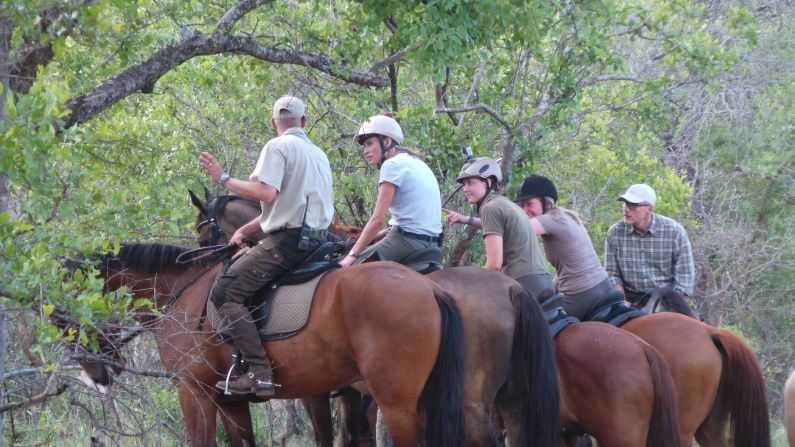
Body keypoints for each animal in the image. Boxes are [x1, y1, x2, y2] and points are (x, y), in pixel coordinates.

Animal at [85, 245, 472, 447]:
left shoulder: (193, 391)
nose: (97, 373)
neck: (183, 292)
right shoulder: (230, 401)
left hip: (396, 406)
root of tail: (429, 288)